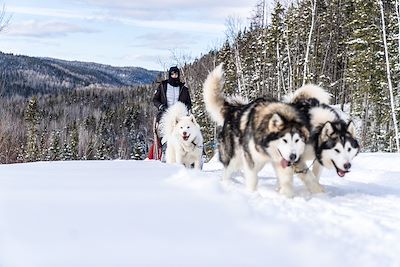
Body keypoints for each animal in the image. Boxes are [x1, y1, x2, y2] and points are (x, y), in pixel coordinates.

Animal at [202, 64, 324, 198]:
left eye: (297, 140)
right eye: (284, 140)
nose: (293, 156)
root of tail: (234, 109)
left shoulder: (282, 162)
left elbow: (289, 180)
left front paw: (287, 196)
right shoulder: (251, 160)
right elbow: (253, 179)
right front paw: (252, 194)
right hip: (234, 158)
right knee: (228, 171)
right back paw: (225, 185)